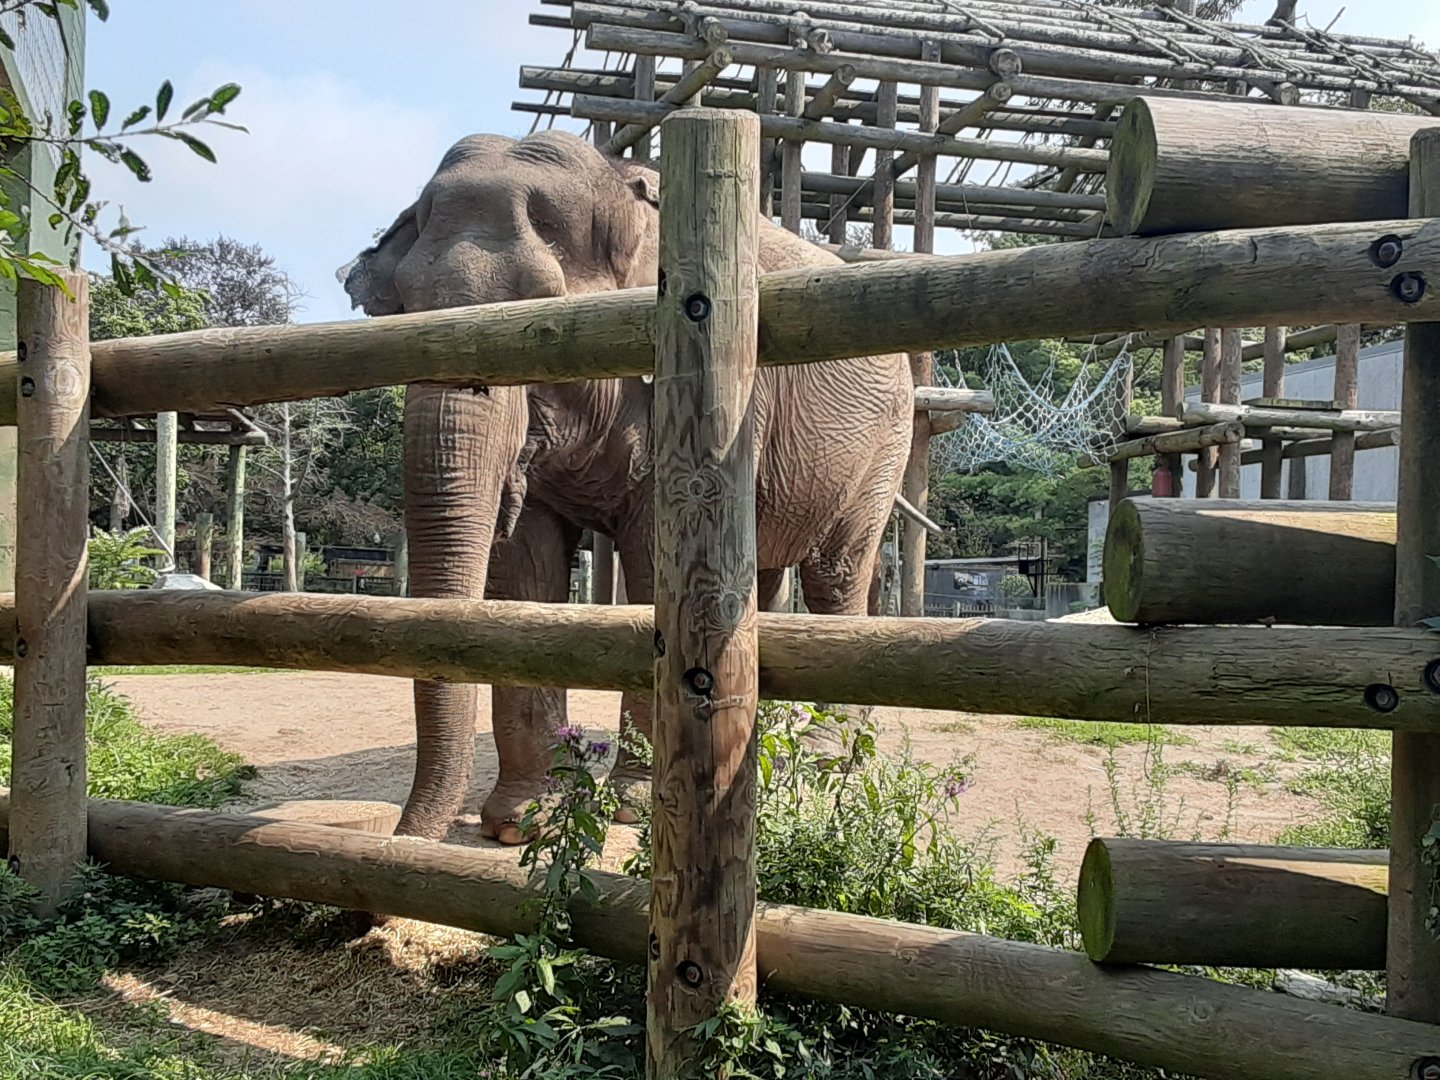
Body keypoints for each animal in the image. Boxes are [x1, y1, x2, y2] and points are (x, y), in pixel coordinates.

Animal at [341, 130, 912, 844]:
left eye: (542, 315)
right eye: (403, 312)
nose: (402, 839)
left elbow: (656, 570)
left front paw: (635, 808)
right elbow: (526, 569)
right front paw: (522, 821)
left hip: (882, 448)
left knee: (837, 575)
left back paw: (825, 757)